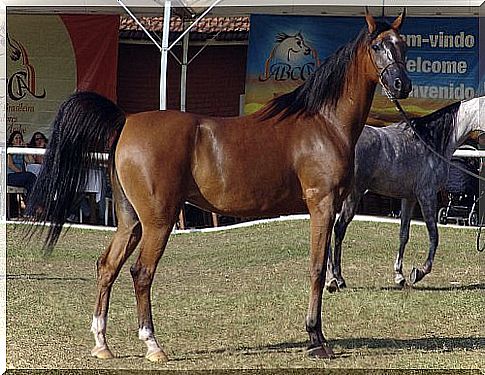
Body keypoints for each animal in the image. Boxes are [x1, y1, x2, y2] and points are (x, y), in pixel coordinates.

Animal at [28, 11, 410, 364]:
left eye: (403, 45)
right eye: (378, 46)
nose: (401, 85)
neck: (322, 124)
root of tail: (127, 121)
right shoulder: (322, 205)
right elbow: (317, 268)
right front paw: (317, 339)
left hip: (130, 220)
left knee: (108, 266)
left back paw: (102, 344)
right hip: (158, 222)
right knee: (141, 273)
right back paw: (153, 346)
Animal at [328, 95, 482, 290]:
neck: (430, 142)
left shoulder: (409, 198)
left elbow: (403, 234)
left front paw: (399, 275)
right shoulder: (426, 195)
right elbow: (434, 234)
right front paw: (419, 272)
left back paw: (331, 277)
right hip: (353, 195)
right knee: (339, 228)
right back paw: (337, 278)